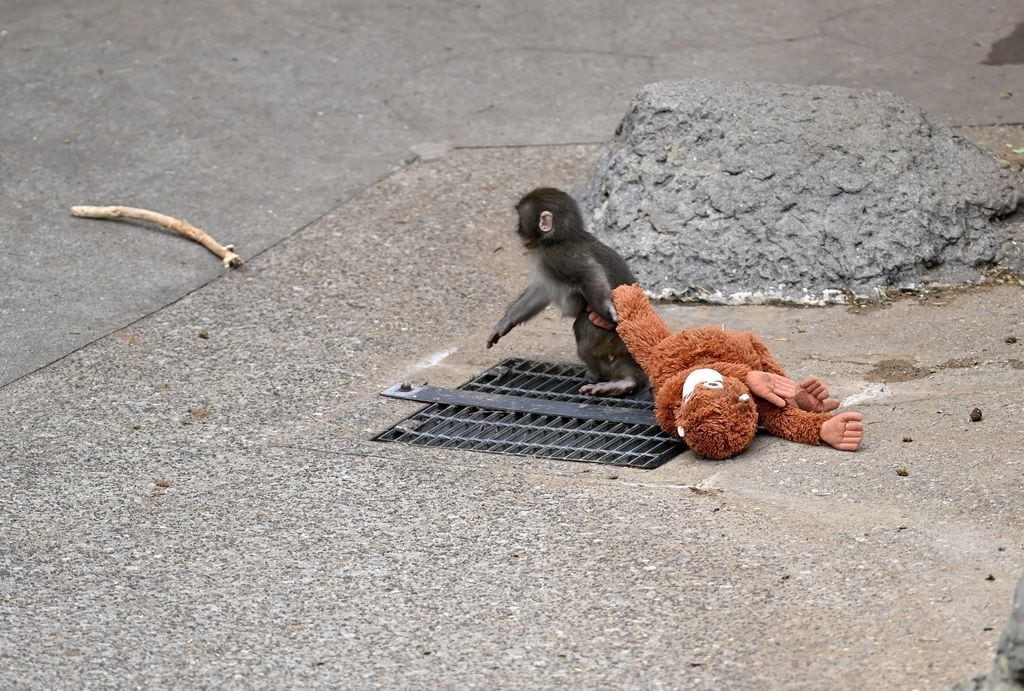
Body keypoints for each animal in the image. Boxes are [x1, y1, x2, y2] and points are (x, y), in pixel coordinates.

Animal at [486, 187, 648, 397]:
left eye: (520, 219)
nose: (516, 228)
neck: (560, 238)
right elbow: (540, 291)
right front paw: (505, 323)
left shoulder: (556, 257)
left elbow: (589, 273)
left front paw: (609, 309)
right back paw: (624, 383)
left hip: (607, 333)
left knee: (583, 334)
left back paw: (600, 374)